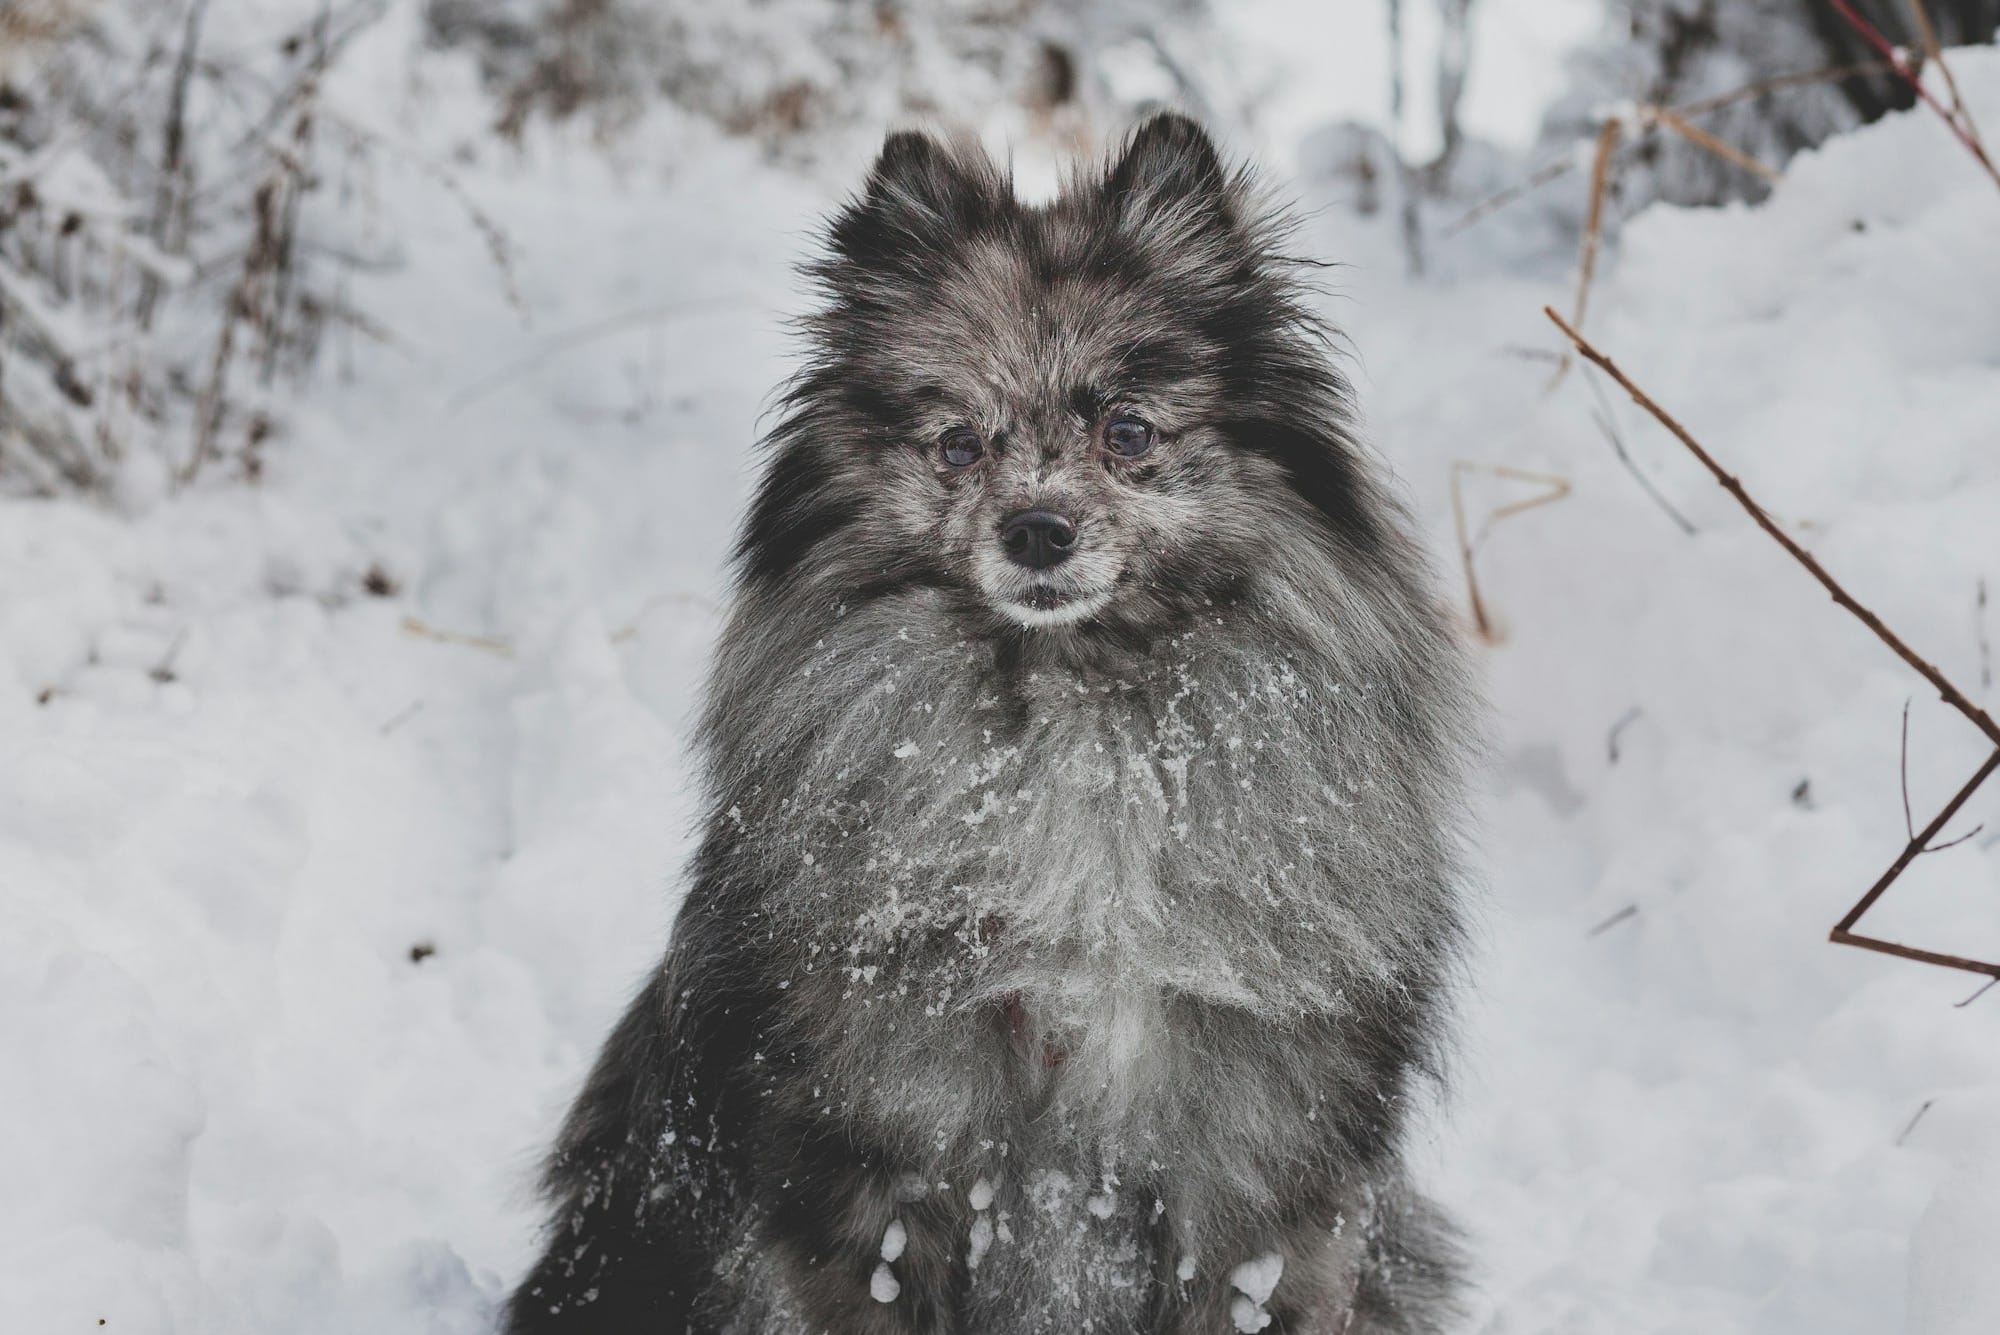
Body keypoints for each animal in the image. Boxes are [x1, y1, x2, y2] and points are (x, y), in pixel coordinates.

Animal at [508, 111, 1480, 1335]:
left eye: (1127, 431)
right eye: (959, 444)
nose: (1037, 530)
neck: (1077, 727)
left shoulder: (1257, 1193)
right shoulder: (876, 1174)